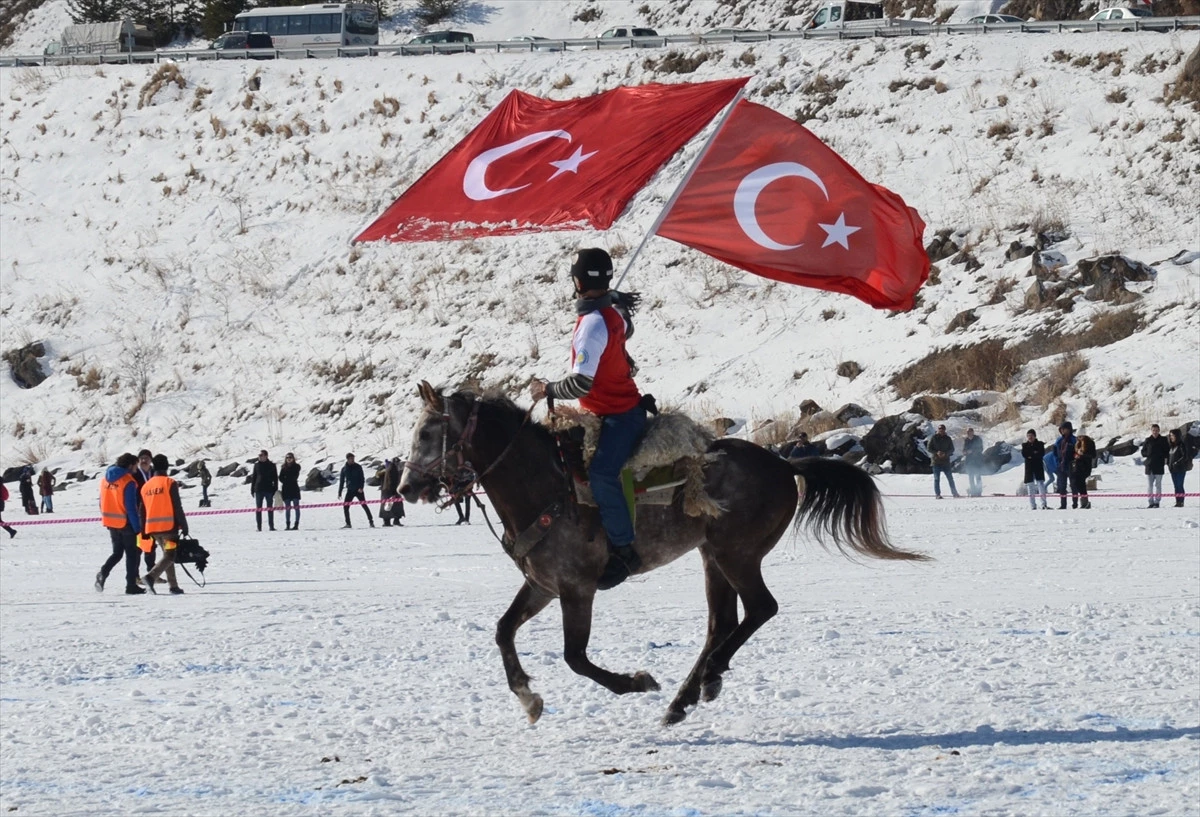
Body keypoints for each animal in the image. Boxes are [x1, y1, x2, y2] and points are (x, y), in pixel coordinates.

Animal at [400, 379, 926, 724]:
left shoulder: (576, 588)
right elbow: (503, 631)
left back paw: (704, 680)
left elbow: (575, 657)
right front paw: (528, 698)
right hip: (712, 557)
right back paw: (687, 696)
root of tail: (781, 463)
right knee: (723, 623)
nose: (406, 488)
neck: (544, 485)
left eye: (427, 433)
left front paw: (635, 682)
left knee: (760, 609)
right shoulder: (542, 585)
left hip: (737, 554)